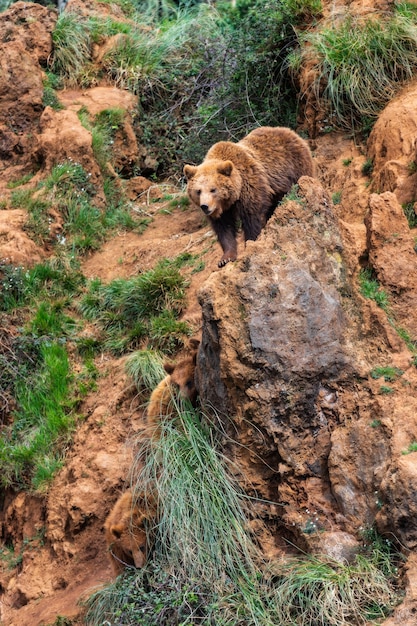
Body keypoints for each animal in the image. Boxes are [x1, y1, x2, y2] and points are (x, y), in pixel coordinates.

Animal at [184, 125, 314, 264]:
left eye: (213, 189)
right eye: (198, 191)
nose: (205, 206)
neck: (231, 198)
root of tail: (291, 132)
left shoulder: (250, 188)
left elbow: (251, 219)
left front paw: (251, 244)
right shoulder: (222, 210)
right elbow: (224, 228)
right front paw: (226, 258)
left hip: (296, 169)